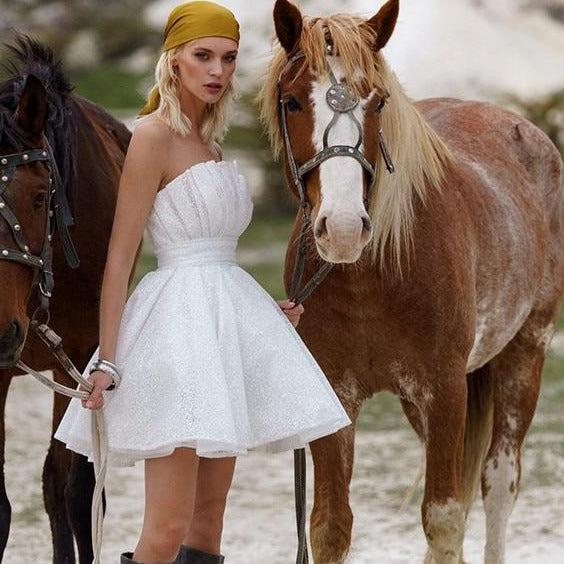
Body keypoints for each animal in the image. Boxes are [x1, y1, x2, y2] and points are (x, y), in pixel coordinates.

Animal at [259, 1, 564, 562]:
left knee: (497, 484)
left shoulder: (444, 391)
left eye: (377, 103)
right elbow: (330, 526)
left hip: (525, 353)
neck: (374, 276)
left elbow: (444, 520)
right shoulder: (338, 398)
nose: (342, 228)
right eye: (291, 102)